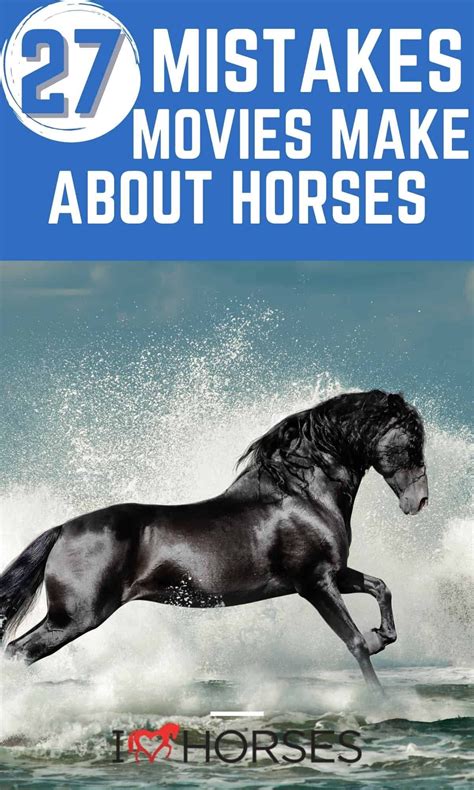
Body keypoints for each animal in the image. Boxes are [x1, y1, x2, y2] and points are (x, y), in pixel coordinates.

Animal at [0, 389, 428, 691]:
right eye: (411, 442)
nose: (418, 501)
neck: (301, 496)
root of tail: (63, 528)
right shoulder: (314, 583)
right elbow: (354, 642)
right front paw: (379, 698)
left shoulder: (334, 574)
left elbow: (380, 587)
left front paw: (382, 636)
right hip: (74, 617)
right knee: (17, 652)